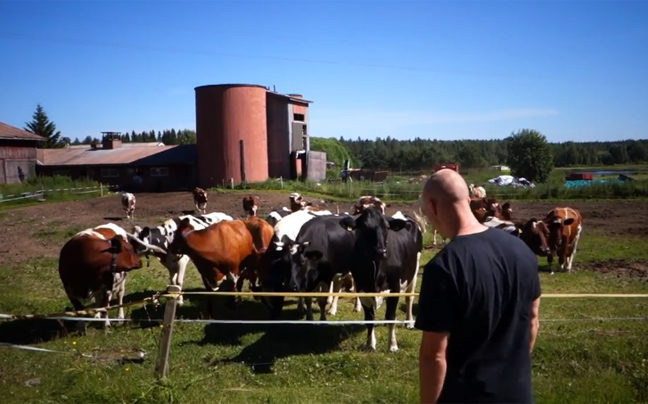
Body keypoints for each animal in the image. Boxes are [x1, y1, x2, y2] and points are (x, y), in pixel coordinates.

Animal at [340, 208, 426, 350]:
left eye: (386, 227)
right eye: (364, 227)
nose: (380, 251)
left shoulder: (395, 287)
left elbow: (391, 316)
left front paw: (392, 345)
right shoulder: (362, 289)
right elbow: (369, 319)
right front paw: (370, 344)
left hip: (414, 270)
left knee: (409, 298)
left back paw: (409, 322)